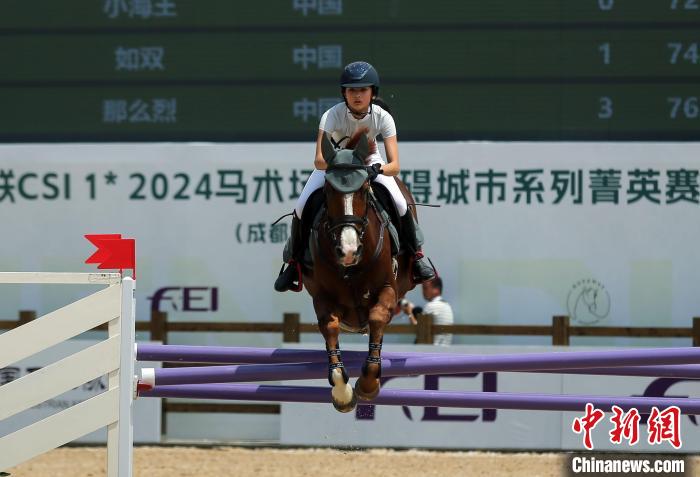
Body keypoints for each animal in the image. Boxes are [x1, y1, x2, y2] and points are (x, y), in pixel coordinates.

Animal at [302, 132, 416, 410]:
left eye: (364, 190)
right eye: (328, 190)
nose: (348, 250)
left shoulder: (387, 287)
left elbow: (377, 317)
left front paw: (368, 384)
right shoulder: (322, 295)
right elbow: (330, 326)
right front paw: (342, 391)